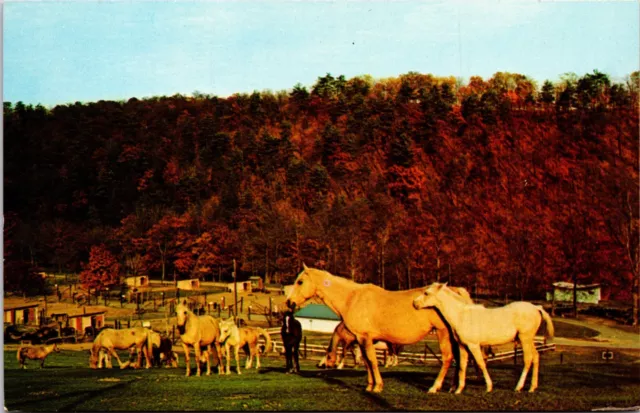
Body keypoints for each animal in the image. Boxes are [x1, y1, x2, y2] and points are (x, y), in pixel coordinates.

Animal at [286, 264, 476, 392]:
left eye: (300, 281)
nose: (289, 302)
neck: (351, 298)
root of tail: (455, 291)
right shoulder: (362, 339)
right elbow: (367, 361)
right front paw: (370, 386)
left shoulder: (363, 338)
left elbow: (372, 361)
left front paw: (377, 386)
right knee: (460, 358)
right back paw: (454, 388)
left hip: (443, 333)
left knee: (448, 358)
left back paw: (435, 387)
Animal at [412, 282, 552, 394]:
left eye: (426, 293)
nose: (414, 304)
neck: (462, 315)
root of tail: (536, 307)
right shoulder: (463, 346)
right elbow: (462, 365)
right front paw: (458, 390)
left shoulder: (473, 345)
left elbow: (480, 363)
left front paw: (489, 387)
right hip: (529, 340)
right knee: (536, 357)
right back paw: (532, 387)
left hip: (525, 339)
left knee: (528, 360)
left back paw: (518, 387)